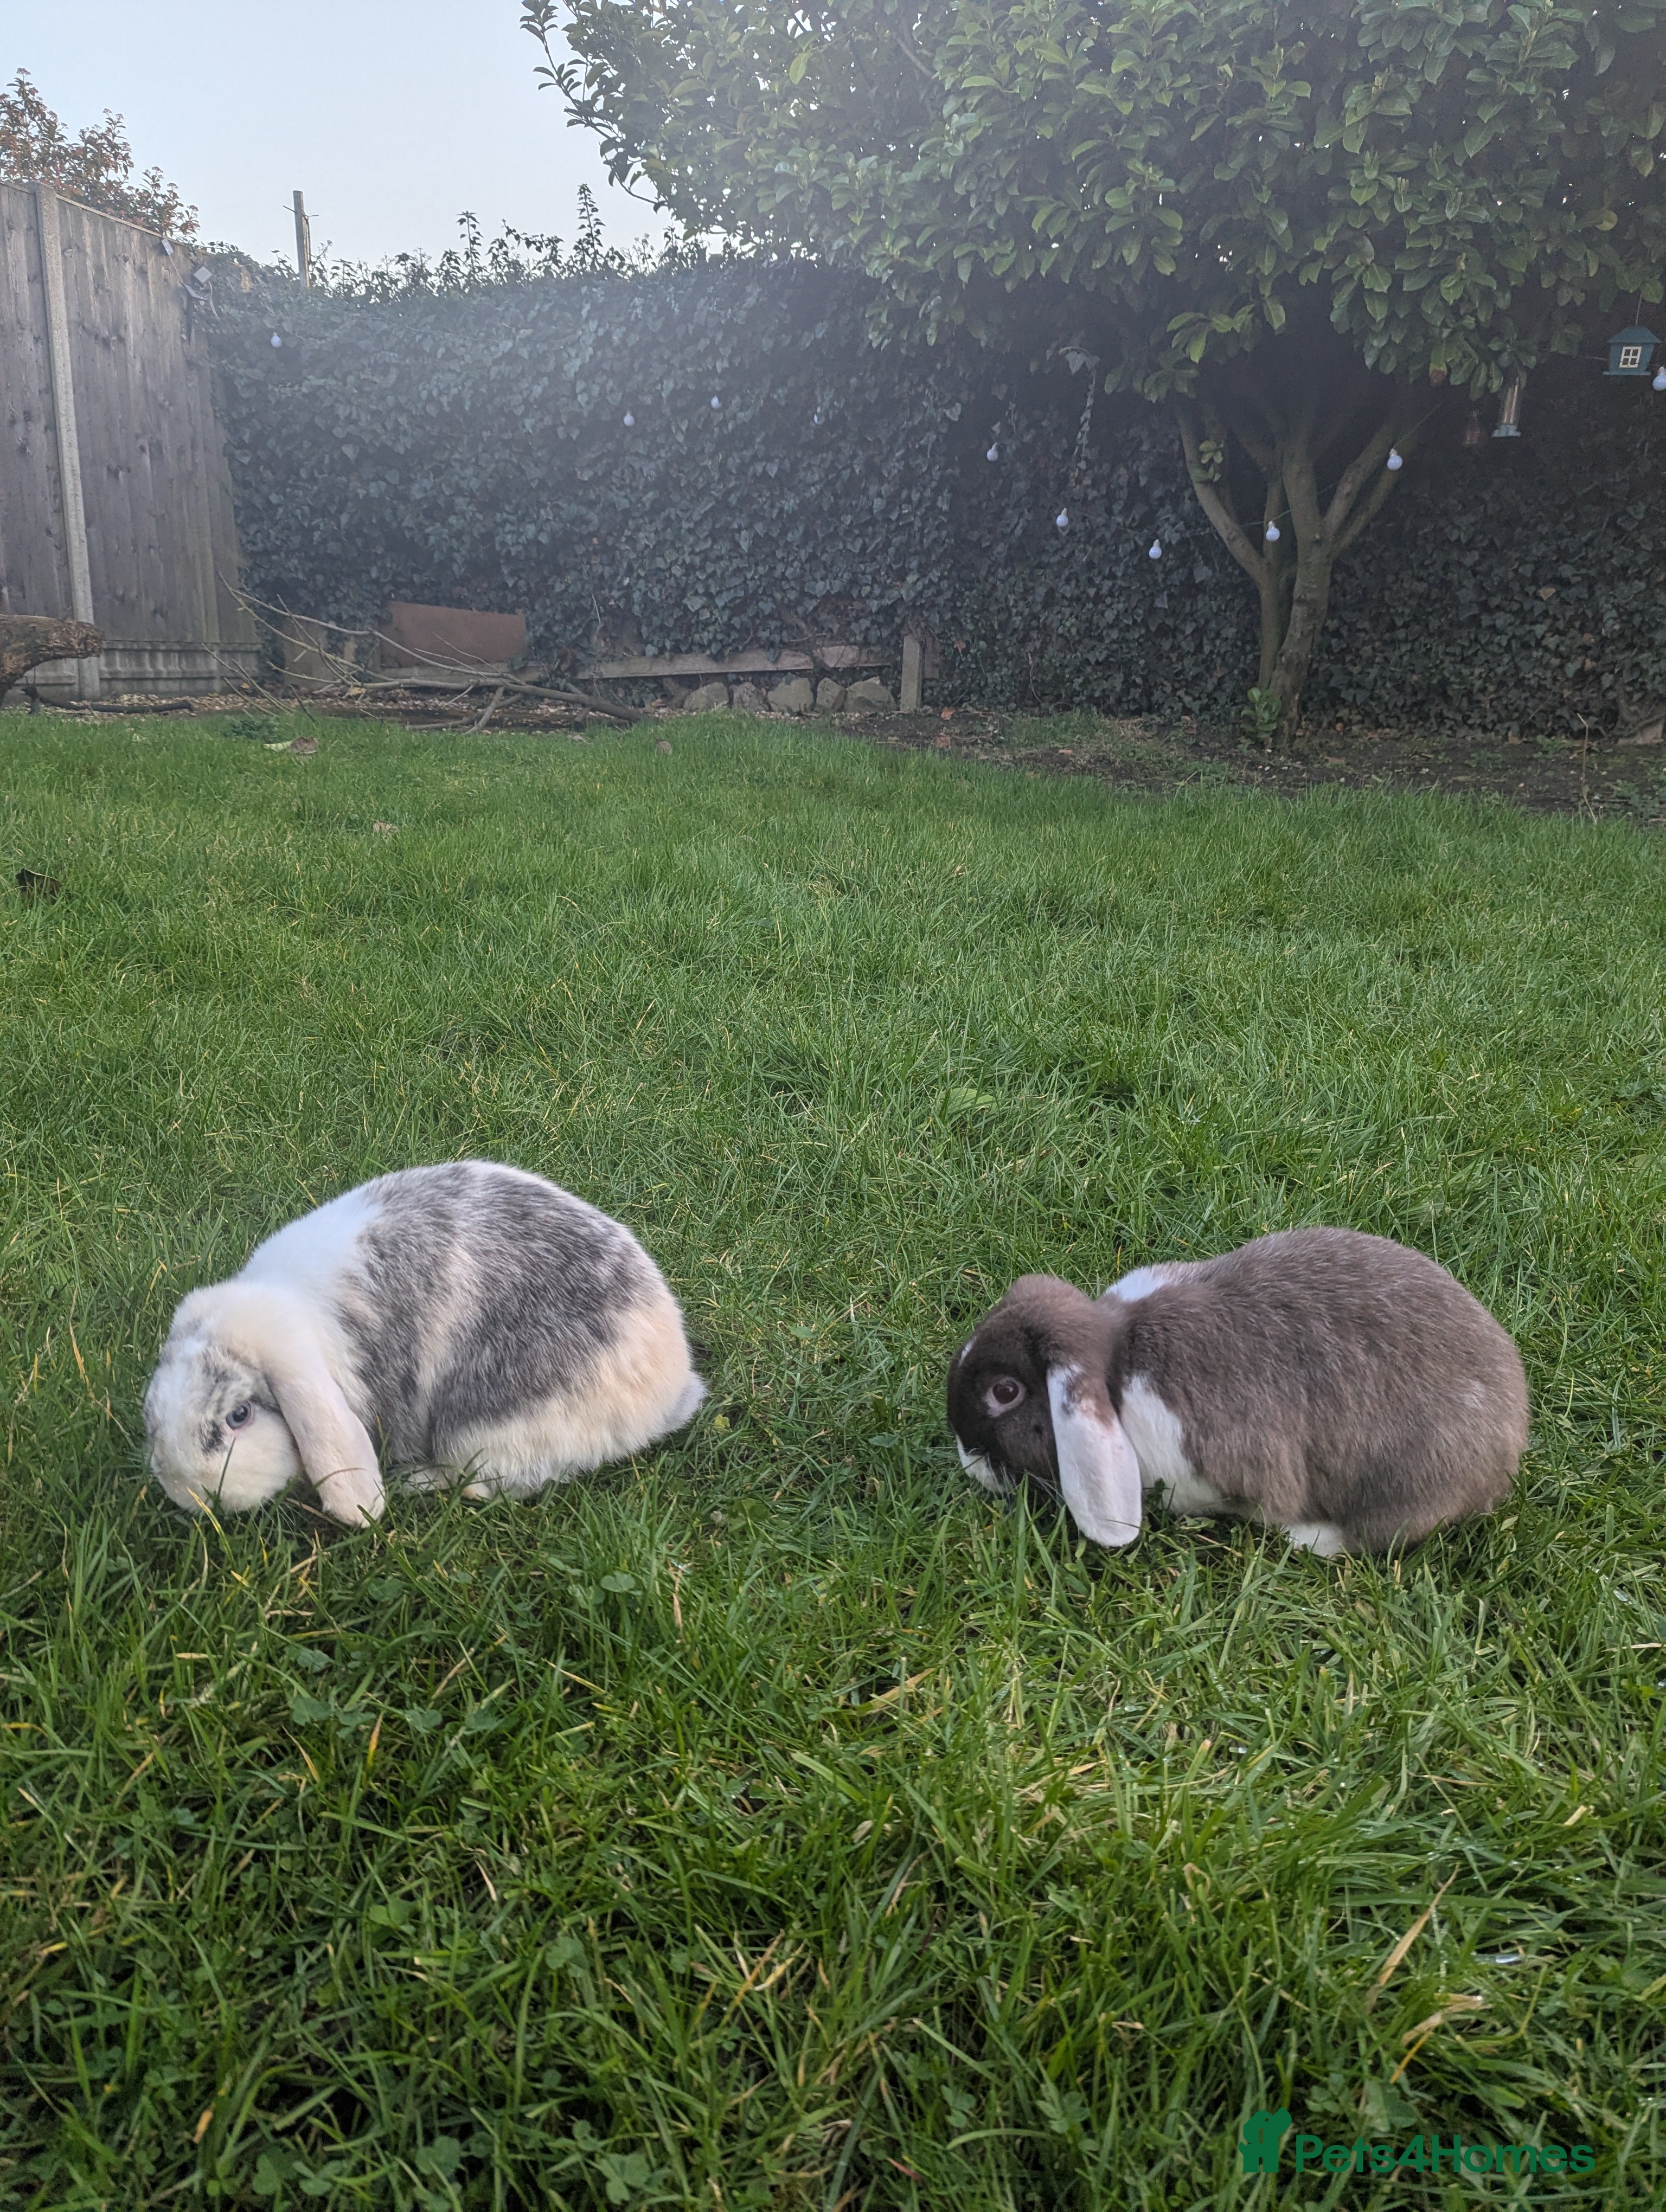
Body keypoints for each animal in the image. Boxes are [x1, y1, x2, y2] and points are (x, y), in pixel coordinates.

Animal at [143, 1161, 706, 1524]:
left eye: (239, 1416)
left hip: (484, 1429)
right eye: (151, 1406)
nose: (189, 1496)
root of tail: (673, 1386)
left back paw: (417, 1483)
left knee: (486, 1485)